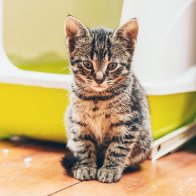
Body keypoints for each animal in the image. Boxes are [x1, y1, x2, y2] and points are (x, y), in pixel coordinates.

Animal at [61, 16, 152, 183]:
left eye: (112, 66)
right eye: (87, 64)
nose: (99, 79)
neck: (97, 99)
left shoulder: (129, 122)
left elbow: (118, 149)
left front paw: (110, 169)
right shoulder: (78, 122)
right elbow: (84, 146)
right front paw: (86, 166)